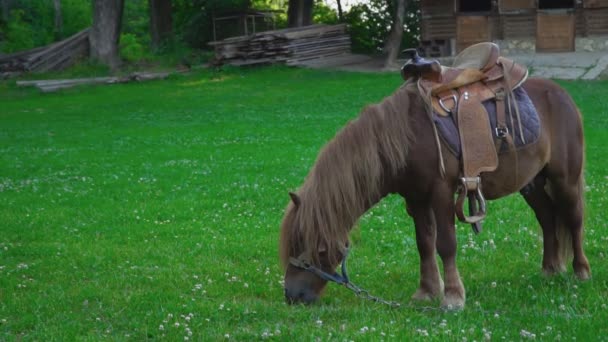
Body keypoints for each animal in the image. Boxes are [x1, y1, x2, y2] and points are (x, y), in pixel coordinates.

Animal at [280, 78, 588, 310]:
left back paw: (581, 271)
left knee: (573, 221)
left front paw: (453, 297)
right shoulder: (416, 198)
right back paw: (550, 269)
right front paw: (426, 292)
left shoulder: (441, 193)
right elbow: (424, 243)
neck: (408, 138)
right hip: (532, 184)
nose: (293, 296)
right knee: (548, 220)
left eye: (319, 249)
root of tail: (562, 94)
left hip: (565, 180)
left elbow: (446, 244)